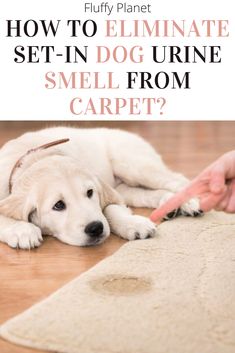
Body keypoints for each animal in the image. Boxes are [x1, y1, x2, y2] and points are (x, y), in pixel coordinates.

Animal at [0, 126, 201, 248]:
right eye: (58, 205)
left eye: (90, 192)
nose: (95, 228)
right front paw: (22, 230)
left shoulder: (109, 194)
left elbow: (111, 210)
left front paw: (133, 224)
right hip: (125, 187)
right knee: (146, 193)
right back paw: (170, 204)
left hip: (133, 165)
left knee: (177, 179)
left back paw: (189, 202)